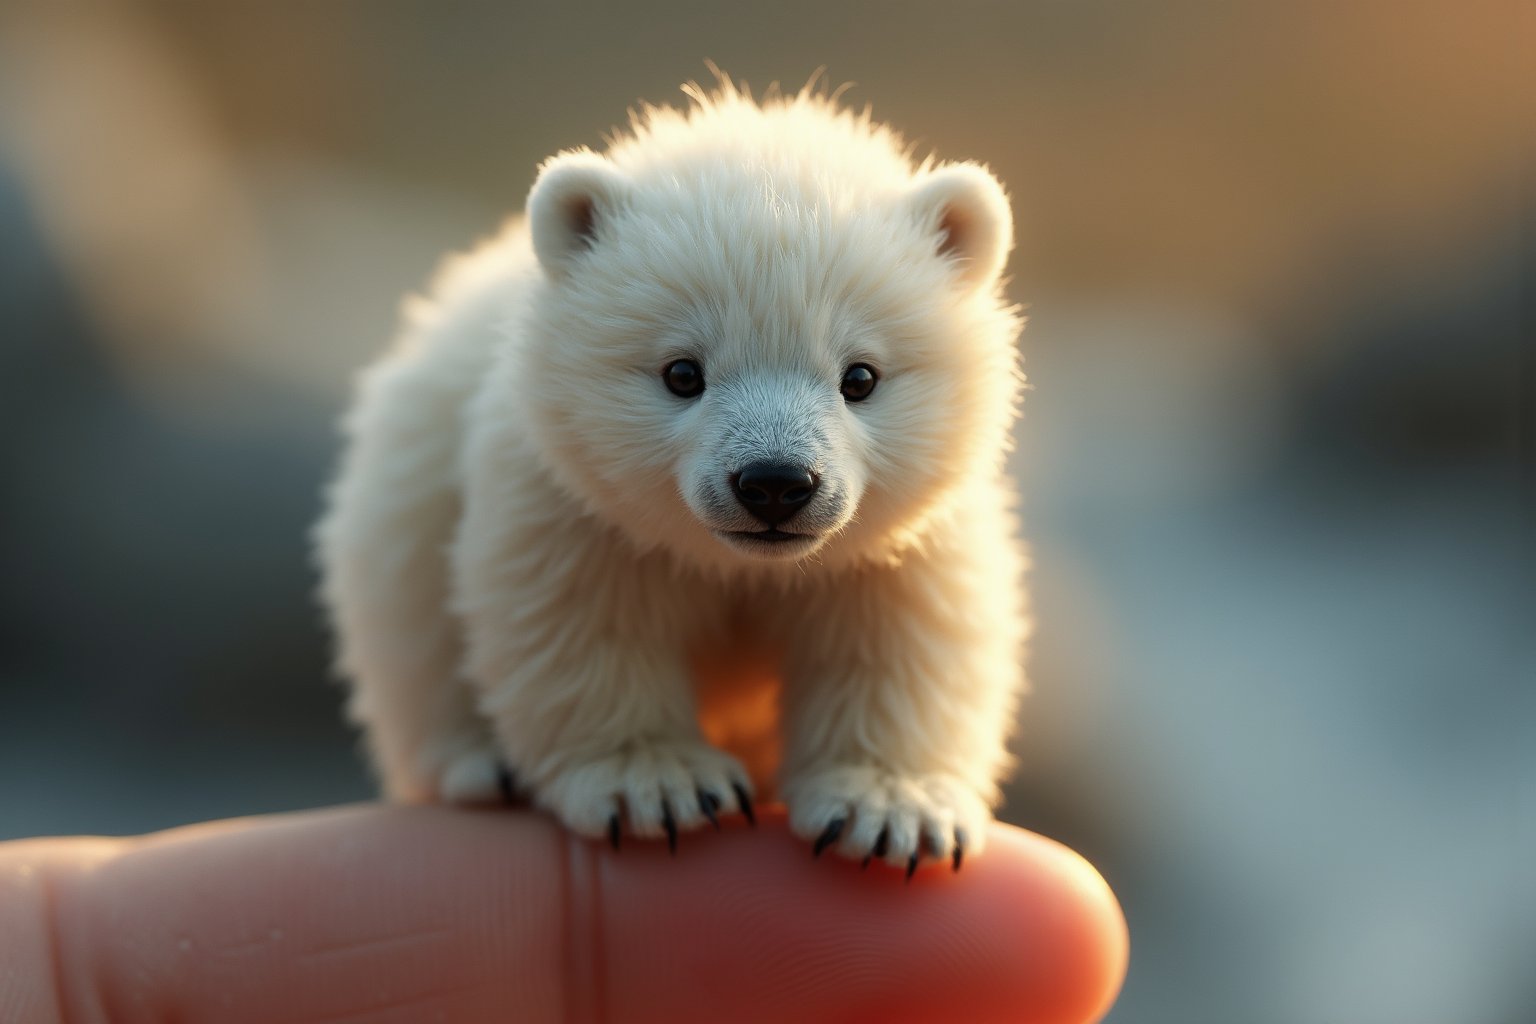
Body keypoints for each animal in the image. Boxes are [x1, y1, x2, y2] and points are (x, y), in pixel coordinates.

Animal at [313, 72, 1032, 878]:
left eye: (861, 377)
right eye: (683, 372)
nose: (775, 483)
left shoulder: (901, 541)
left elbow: (905, 636)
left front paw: (888, 811)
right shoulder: (573, 501)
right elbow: (579, 620)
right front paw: (658, 787)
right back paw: (481, 764)